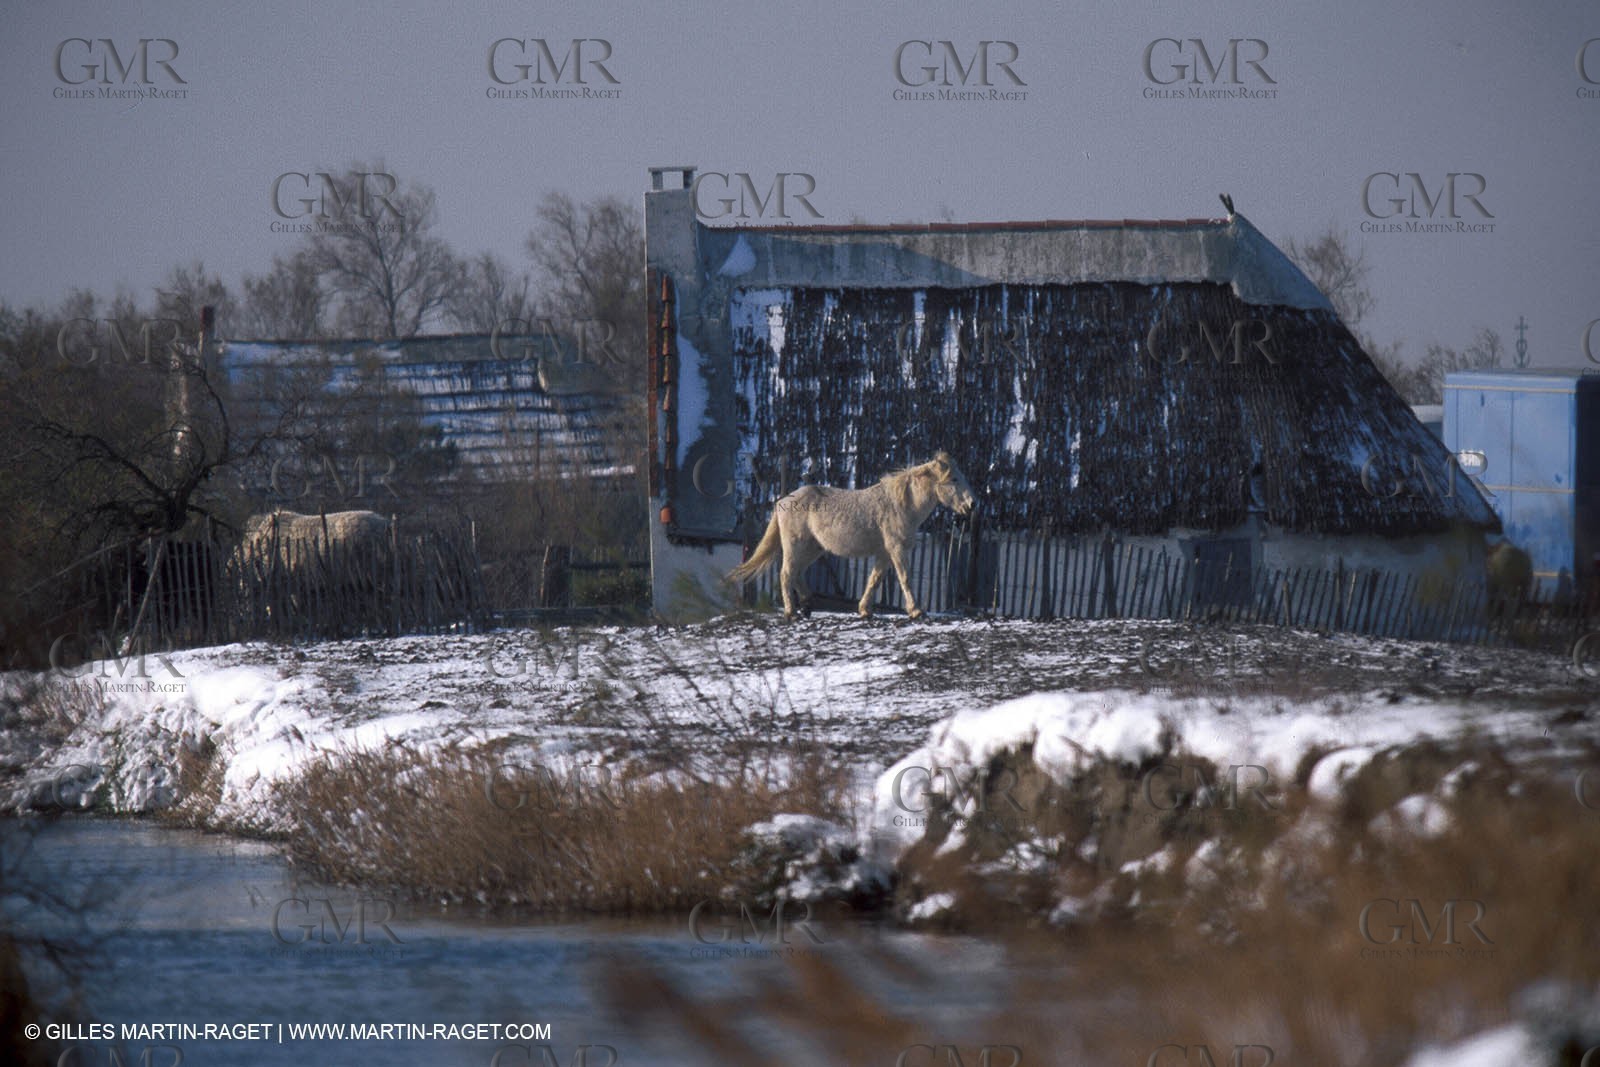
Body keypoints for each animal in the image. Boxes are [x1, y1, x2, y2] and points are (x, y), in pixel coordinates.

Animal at [725, 452, 976, 619]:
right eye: (954, 479)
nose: (972, 505)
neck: (901, 504)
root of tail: (782, 501)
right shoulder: (896, 549)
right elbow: (904, 577)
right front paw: (916, 611)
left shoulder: (884, 553)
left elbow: (874, 579)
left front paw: (865, 610)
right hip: (795, 546)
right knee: (787, 573)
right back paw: (792, 611)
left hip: (814, 549)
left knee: (797, 574)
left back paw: (807, 606)